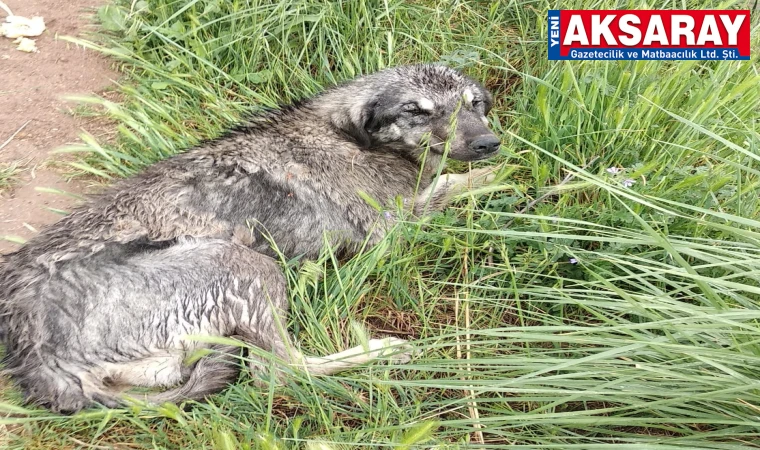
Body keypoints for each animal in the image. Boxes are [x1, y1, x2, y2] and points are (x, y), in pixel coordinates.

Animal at [0, 63, 502, 412]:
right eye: (416, 111)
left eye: (474, 104)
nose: (488, 144)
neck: (349, 136)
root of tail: (35, 361)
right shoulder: (393, 224)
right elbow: (460, 185)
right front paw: (514, 177)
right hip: (246, 264)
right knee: (280, 372)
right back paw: (381, 351)